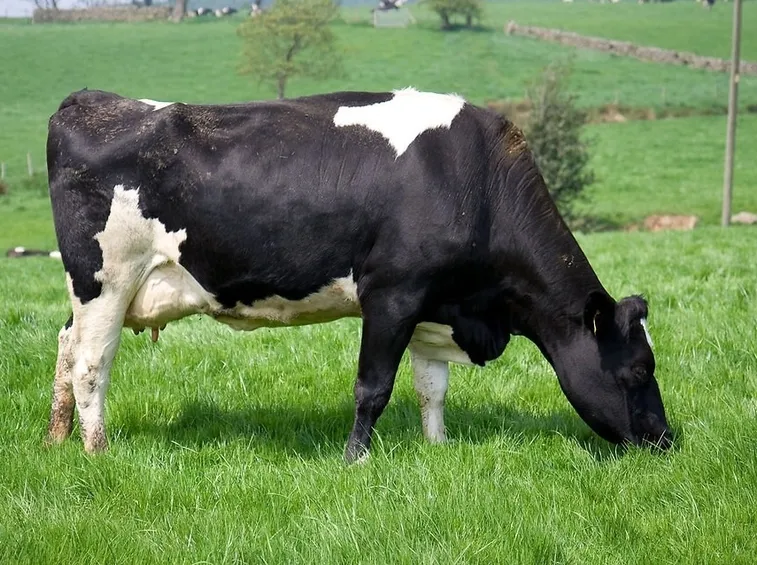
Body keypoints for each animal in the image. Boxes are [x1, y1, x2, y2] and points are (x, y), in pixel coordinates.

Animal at [45, 88, 672, 462]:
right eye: (639, 370)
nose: (666, 440)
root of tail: (91, 101)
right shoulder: (392, 294)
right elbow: (373, 387)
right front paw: (356, 459)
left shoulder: (431, 303)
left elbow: (431, 387)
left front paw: (437, 448)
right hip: (106, 279)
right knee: (92, 363)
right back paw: (97, 451)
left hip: (93, 291)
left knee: (65, 345)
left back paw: (57, 437)